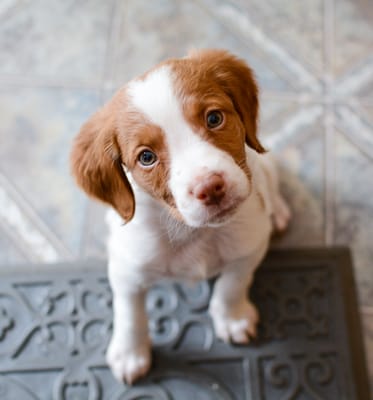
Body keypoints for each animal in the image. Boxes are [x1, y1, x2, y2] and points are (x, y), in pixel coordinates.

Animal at [70, 50, 290, 384]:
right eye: (146, 157)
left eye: (214, 118)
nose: (210, 188)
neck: (192, 231)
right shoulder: (127, 270)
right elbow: (129, 313)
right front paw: (129, 354)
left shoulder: (249, 246)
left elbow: (233, 284)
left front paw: (233, 318)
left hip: (265, 164)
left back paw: (278, 210)